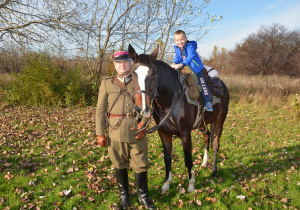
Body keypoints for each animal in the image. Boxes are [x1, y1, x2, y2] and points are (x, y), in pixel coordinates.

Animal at [129, 45, 230, 193]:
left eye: (153, 74)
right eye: (131, 74)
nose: (142, 109)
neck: (170, 100)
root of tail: (222, 84)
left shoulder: (185, 133)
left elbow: (188, 159)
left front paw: (191, 185)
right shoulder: (163, 133)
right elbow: (167, 158)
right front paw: (166, 184)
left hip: (219, 120)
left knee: (215, 144)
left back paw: (213, 171)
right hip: (203, 124)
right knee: (207, 138)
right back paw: (205, 162)